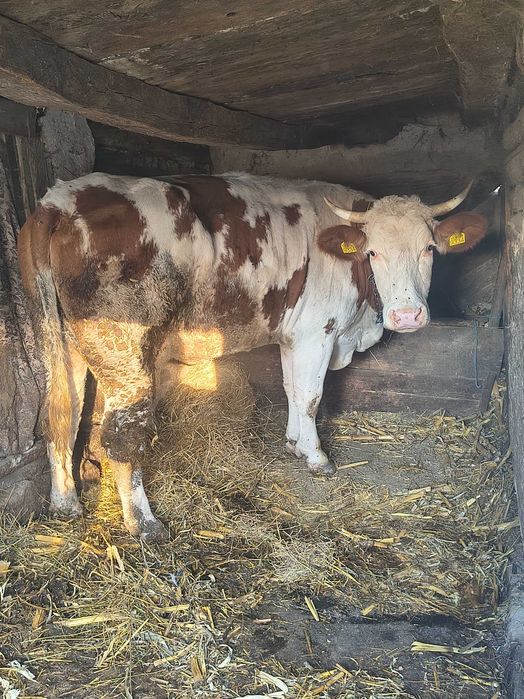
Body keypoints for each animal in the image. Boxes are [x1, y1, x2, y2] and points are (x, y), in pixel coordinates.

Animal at [17, 172, 488, 541]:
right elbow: (312, 395)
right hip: (124, 350)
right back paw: (144, 525)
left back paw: (65, 503)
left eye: (430, 248)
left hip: (62, 339)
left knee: (62, 412)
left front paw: (295, 443)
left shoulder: (294, 335)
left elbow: (293, 388)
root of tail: (58, 200)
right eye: (373, 251)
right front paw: (317, 457)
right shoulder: (318, 331)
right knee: (118, 435)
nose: (407, 315)